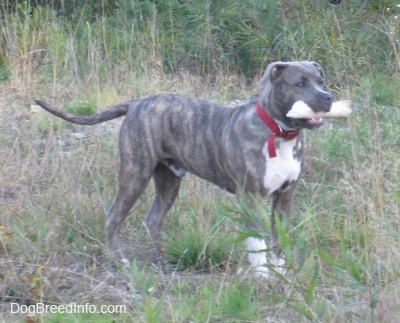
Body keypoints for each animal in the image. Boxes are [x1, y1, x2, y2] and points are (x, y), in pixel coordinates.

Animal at [34, 61, 332, 278]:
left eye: (321, 81)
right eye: (300, 83)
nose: (328, 98)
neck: (281, 133)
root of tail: (135, 103)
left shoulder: (284, 196)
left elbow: (279, 238)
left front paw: (281, 270)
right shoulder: (251, 197)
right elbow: (257, 240)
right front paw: (262, 275)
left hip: (168, 180)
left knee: (153, 219)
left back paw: (159, 261)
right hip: (135, 173)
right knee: (114, 216)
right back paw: (119, 260)